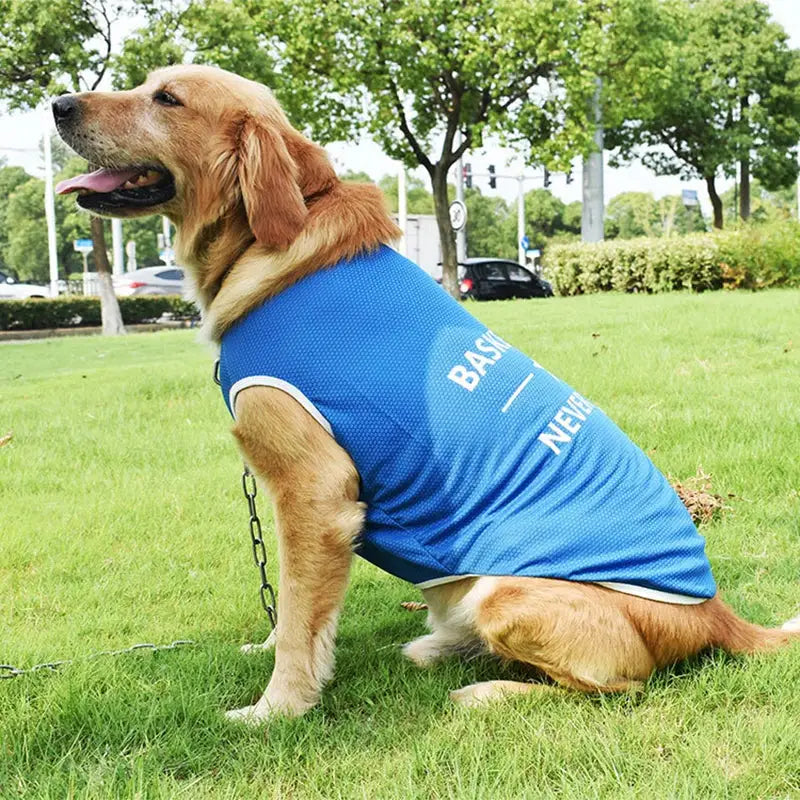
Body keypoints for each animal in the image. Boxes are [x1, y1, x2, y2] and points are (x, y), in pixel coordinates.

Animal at [53, 65, 796, 720]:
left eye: (167, 98)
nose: (59, 104)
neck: (275, 250)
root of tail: (716, 613)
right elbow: (289, 612)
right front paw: (268, 656)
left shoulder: (315, 494)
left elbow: (297, 620)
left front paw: (277, 708)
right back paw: (443, 646)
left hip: (508, 593)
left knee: (620, 687)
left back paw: (489, 690)